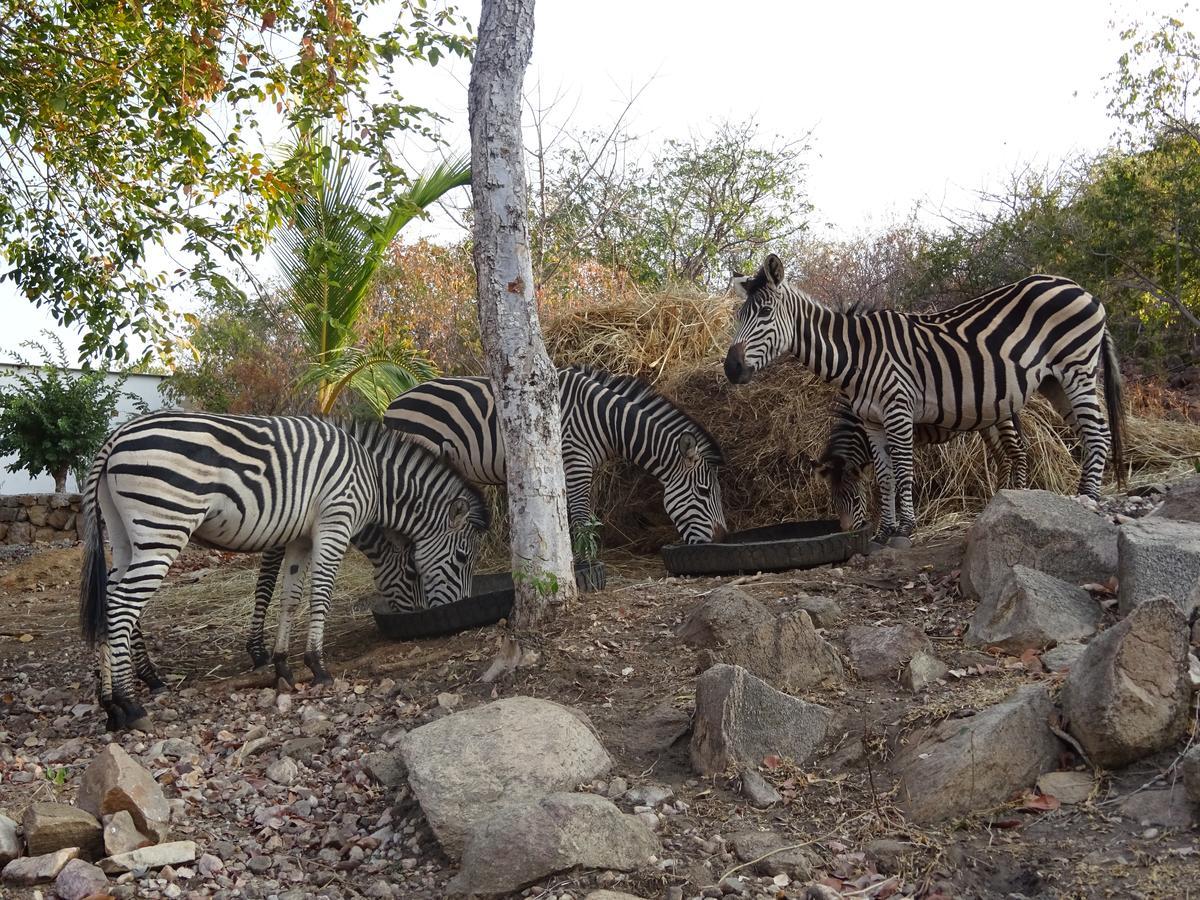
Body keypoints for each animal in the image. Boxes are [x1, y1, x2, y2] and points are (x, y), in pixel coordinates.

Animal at [79, 415, 487, 734]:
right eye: (461, 558)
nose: (448, 618)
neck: (373, 477)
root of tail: (115, 437)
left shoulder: (298, 536)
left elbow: (289, 597)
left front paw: (281, 665)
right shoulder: (334, 523)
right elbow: (317, 592)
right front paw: (317, 665)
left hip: (124, 533)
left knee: (110, 604)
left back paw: (111, 705)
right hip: (163, 527)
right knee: (123, 607)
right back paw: (131, 703)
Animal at [384, 364, 724, 542]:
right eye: (704, 492)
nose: (721, 538)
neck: (604, 419)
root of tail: (393, 403)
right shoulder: (575, 462)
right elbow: (581, 517)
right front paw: (585, 565)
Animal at [811, 398, 1027, 532]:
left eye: (856, 500)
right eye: (834, 502)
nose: (847, 532)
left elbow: (897, 477)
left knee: (1019, 452)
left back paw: (1020, 496)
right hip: (987, 421)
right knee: (1003, 458)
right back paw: (999, 497)